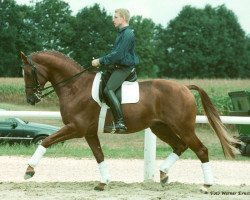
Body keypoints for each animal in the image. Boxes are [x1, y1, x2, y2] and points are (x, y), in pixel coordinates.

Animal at [21, 50, 238, 191]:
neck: (75, 86)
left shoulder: (76, 128)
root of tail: (184, 87)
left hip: (183, 127)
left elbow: (46, 140)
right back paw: (163, 174)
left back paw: (207, 185)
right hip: (160, 127)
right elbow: (99, 155)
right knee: (180, 145)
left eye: (28, 72)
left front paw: (29, 170)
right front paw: (104, 182)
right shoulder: (89, 132)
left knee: (200, 150)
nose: (31, 99)